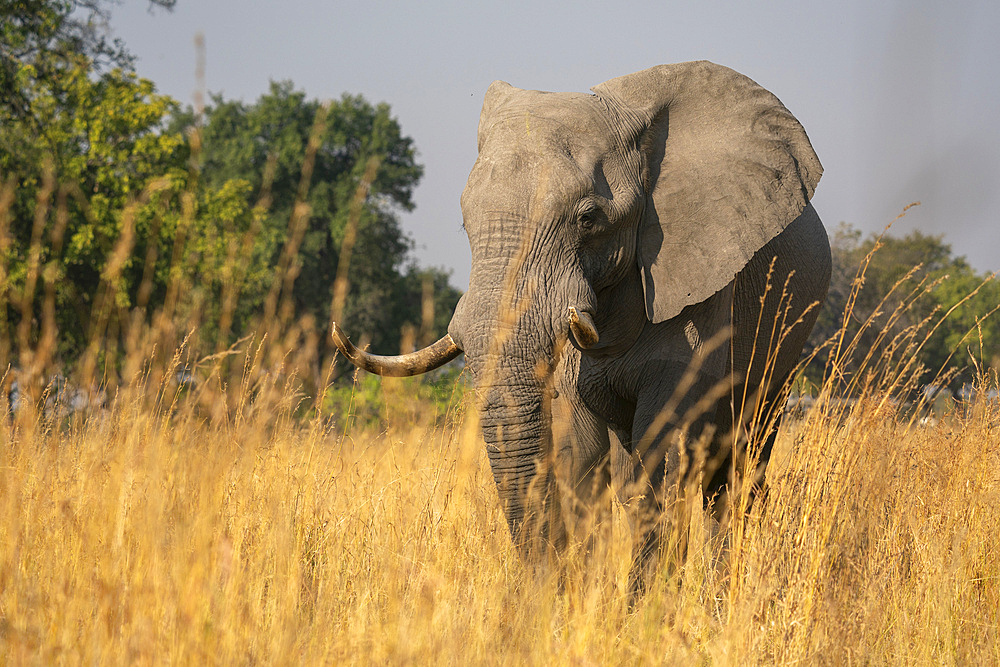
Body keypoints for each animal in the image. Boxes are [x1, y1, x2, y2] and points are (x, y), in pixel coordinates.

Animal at [332, 60, 832, 576]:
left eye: (588, 219)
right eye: (465, 223)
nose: (541, 582)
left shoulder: (705, 284)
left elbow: (665, 449)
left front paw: (646, 598)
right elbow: (580, 455)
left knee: (739, 460)